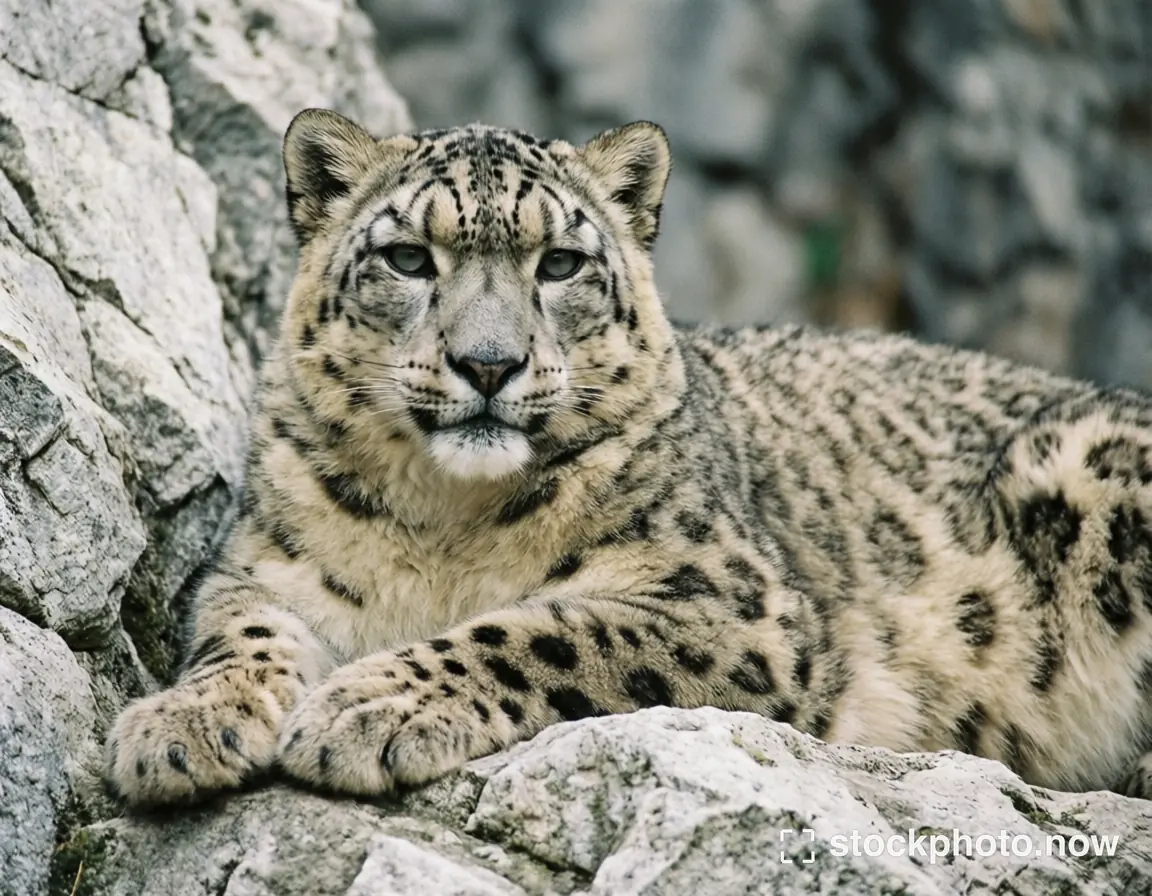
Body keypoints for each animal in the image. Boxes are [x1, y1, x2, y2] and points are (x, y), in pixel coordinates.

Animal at [105, 107, 1152, 808]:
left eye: (560, 264)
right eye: (407, 258)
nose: (489, 363)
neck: (444, 524)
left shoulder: (736, 606)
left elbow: (548, 629)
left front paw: (369, 706)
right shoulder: (266, 568)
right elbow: (239, 632)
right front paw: (179, 726)